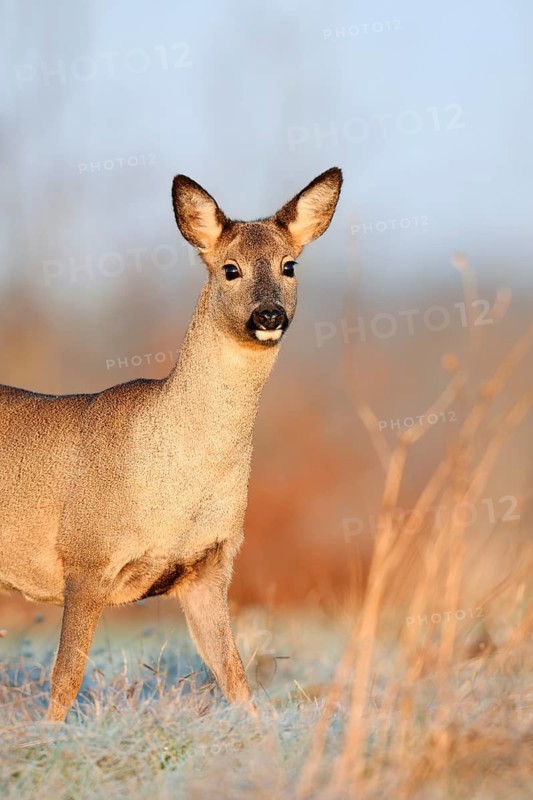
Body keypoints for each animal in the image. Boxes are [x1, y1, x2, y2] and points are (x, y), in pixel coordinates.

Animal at [0, 167, 343, 721]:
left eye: (289, 266)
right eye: (230, 269)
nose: (269, 315)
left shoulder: (209, 568)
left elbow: (236, 678)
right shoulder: (86, 557)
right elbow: (65, 678)